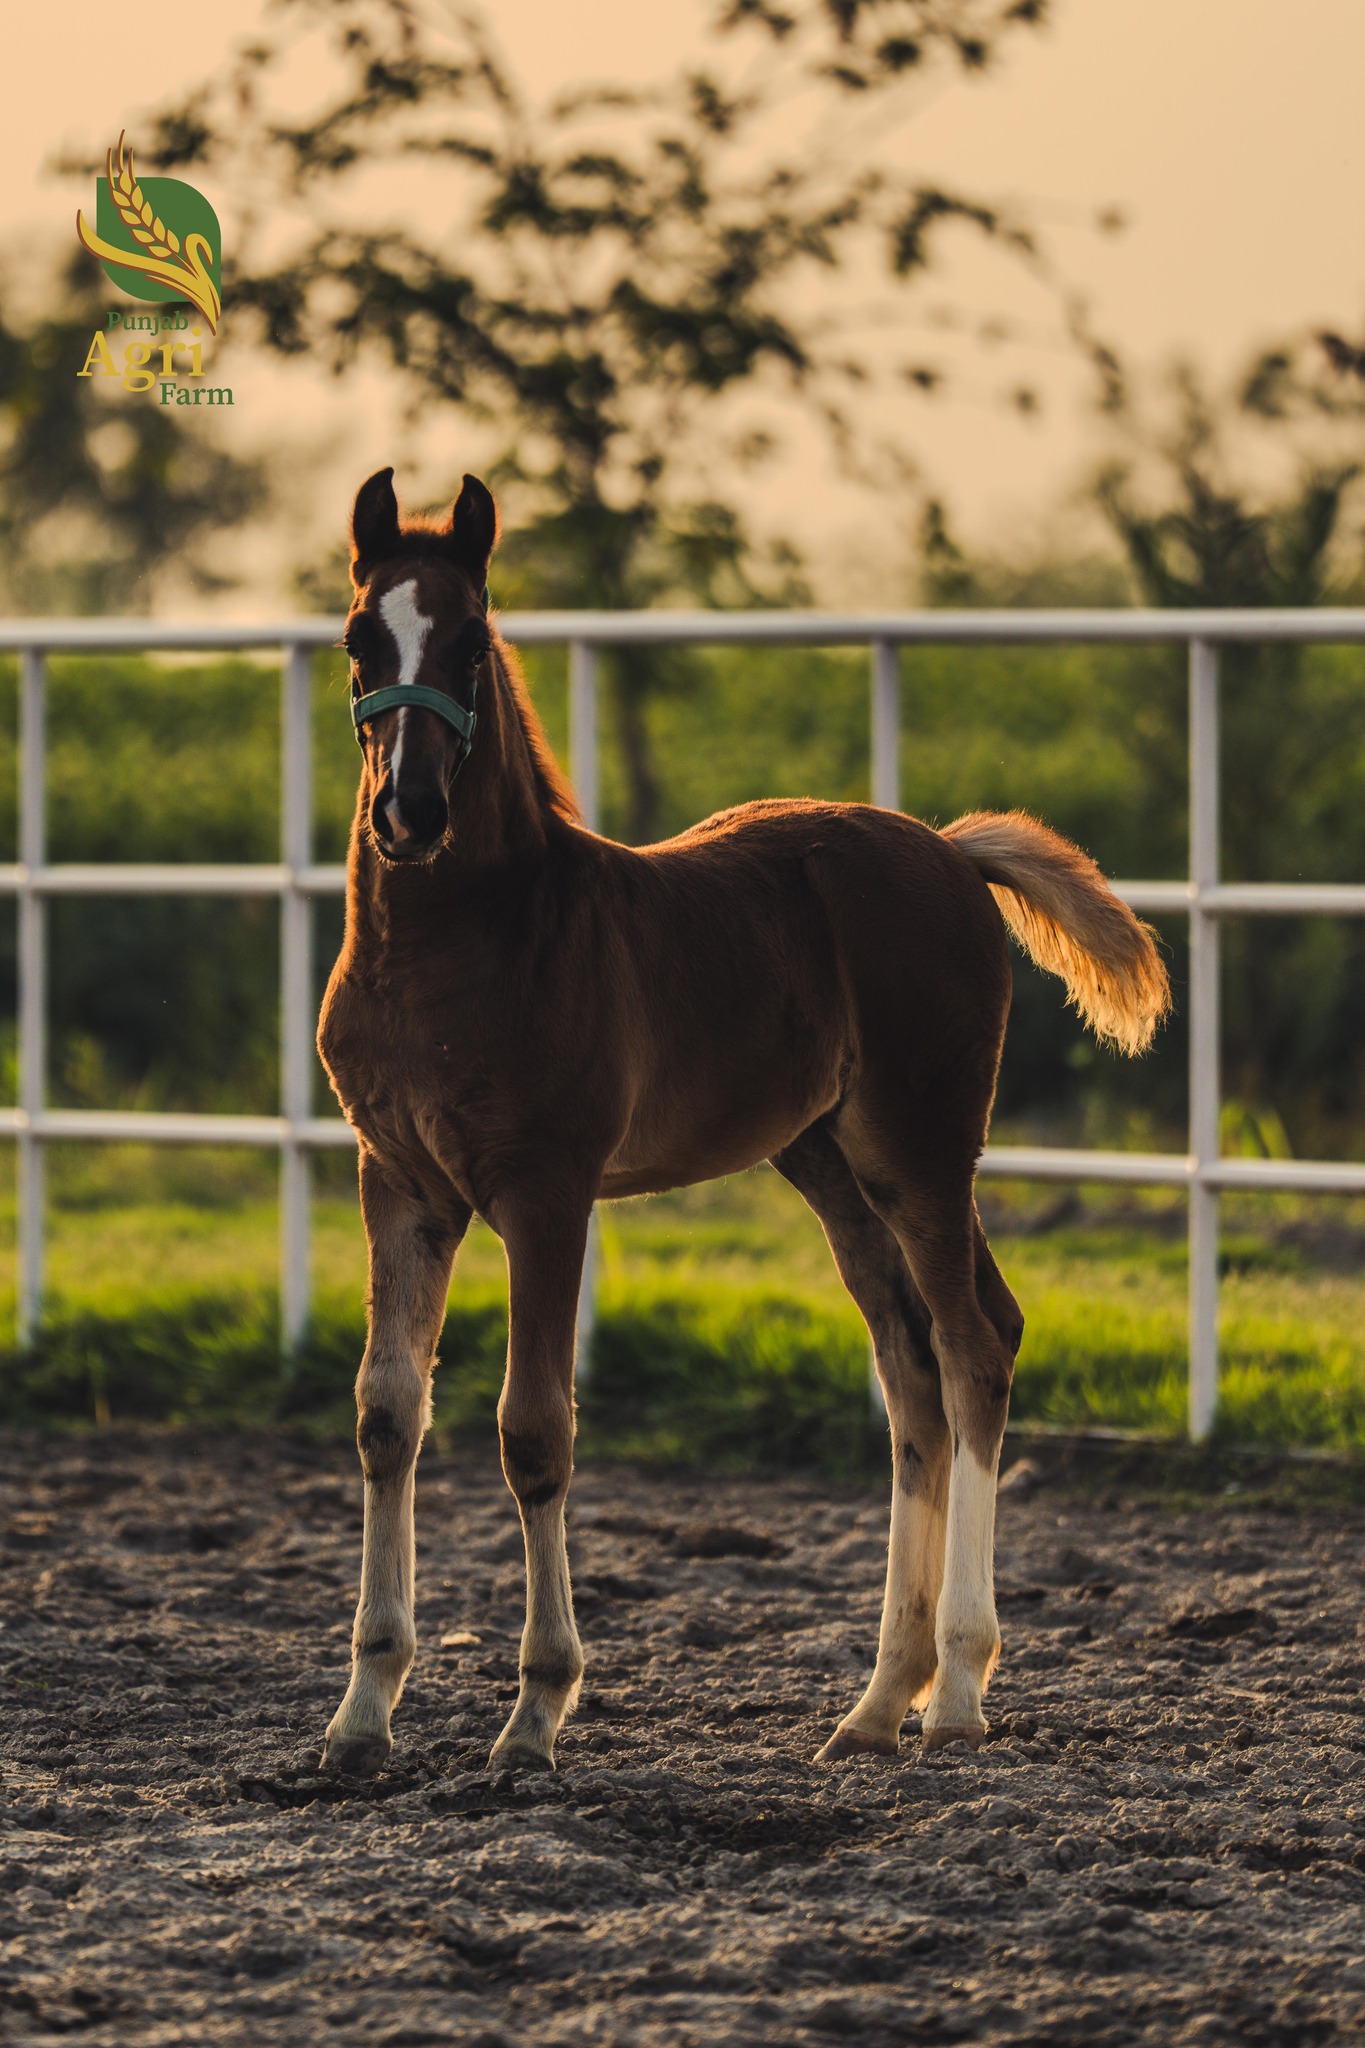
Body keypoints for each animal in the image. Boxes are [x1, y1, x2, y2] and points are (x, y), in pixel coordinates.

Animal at [317, 466, 1170, 1779]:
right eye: (363, 637)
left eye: (468, 639)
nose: (408, 813)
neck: (461, 946)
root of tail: (950, 852)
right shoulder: (398, 1182)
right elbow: (386, 1414)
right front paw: (362, 1709)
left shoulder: (547, 1192)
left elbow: (533, 1428)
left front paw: (536, 1710)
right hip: (831, 1164)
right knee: (914, 1370)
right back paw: (878, 1701)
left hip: (922, 1150)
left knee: (972, 1346)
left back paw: (957, 1686)